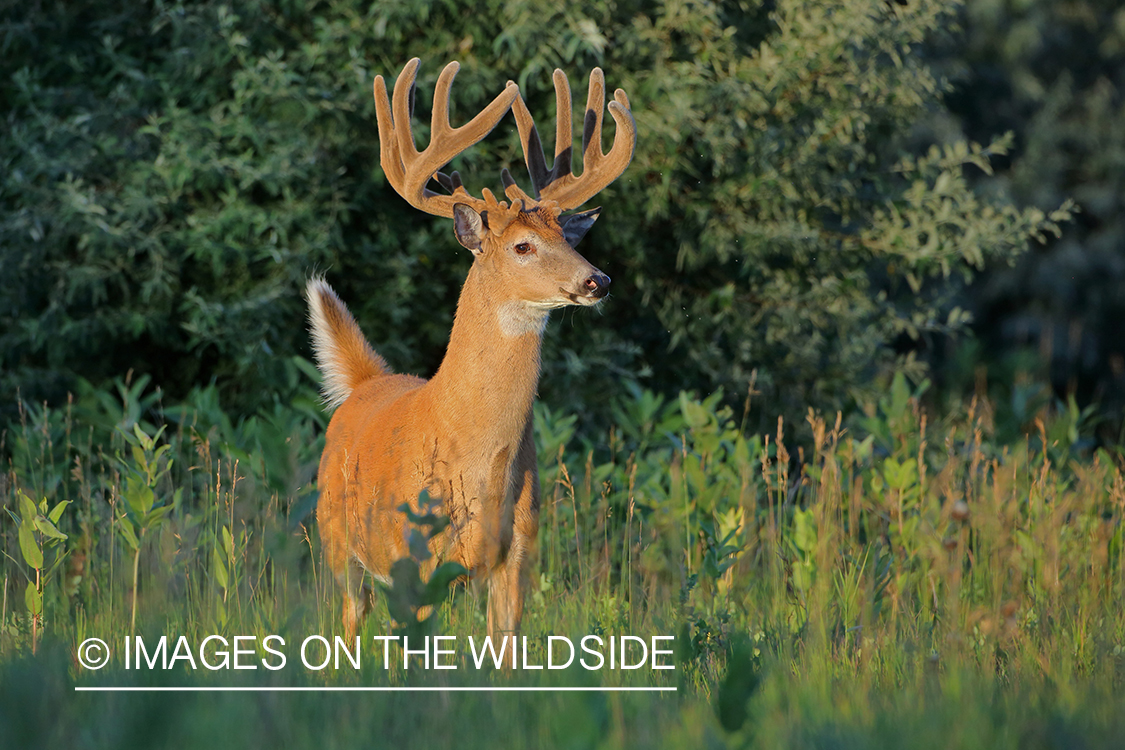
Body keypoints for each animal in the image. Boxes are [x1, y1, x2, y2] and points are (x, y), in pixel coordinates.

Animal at [303, 58, 634, 647]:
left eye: (568, 238)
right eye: (522, 245)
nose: (598, 280)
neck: (479, 460)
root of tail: (367, 383)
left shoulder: (517, 555)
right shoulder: (412, 560)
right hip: (339, 544)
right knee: (350, 623)